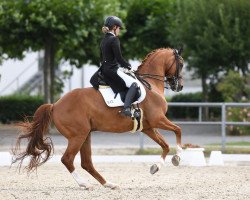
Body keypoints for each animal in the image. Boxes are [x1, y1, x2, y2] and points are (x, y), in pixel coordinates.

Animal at [11, 47, 184, 190]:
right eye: (181, 64)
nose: (180, 86)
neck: (151, 85)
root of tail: (55, 105)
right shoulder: (158, 119)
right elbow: (178, 130)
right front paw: (177, 157)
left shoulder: (148, 127)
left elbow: (165, 145)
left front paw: (156, 167)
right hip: (78, 135)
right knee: (68, 159)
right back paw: (85, 184)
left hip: (86, 135)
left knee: (86, 163)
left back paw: (109, 184)